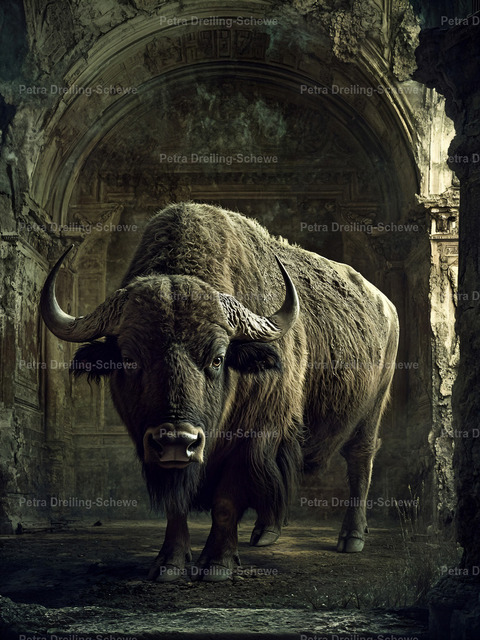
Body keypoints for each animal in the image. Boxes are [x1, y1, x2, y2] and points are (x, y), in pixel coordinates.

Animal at [40, 202, 399, 581]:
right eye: (128, 358)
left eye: (218, 357)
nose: (177, 439)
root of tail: (386, 305)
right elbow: (176, 505)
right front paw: (169, 563)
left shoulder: (252, 439)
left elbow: (227, 501)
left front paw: (216, 564)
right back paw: (266, 533)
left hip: (371, 412)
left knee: (360, 461)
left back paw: (352, 538)